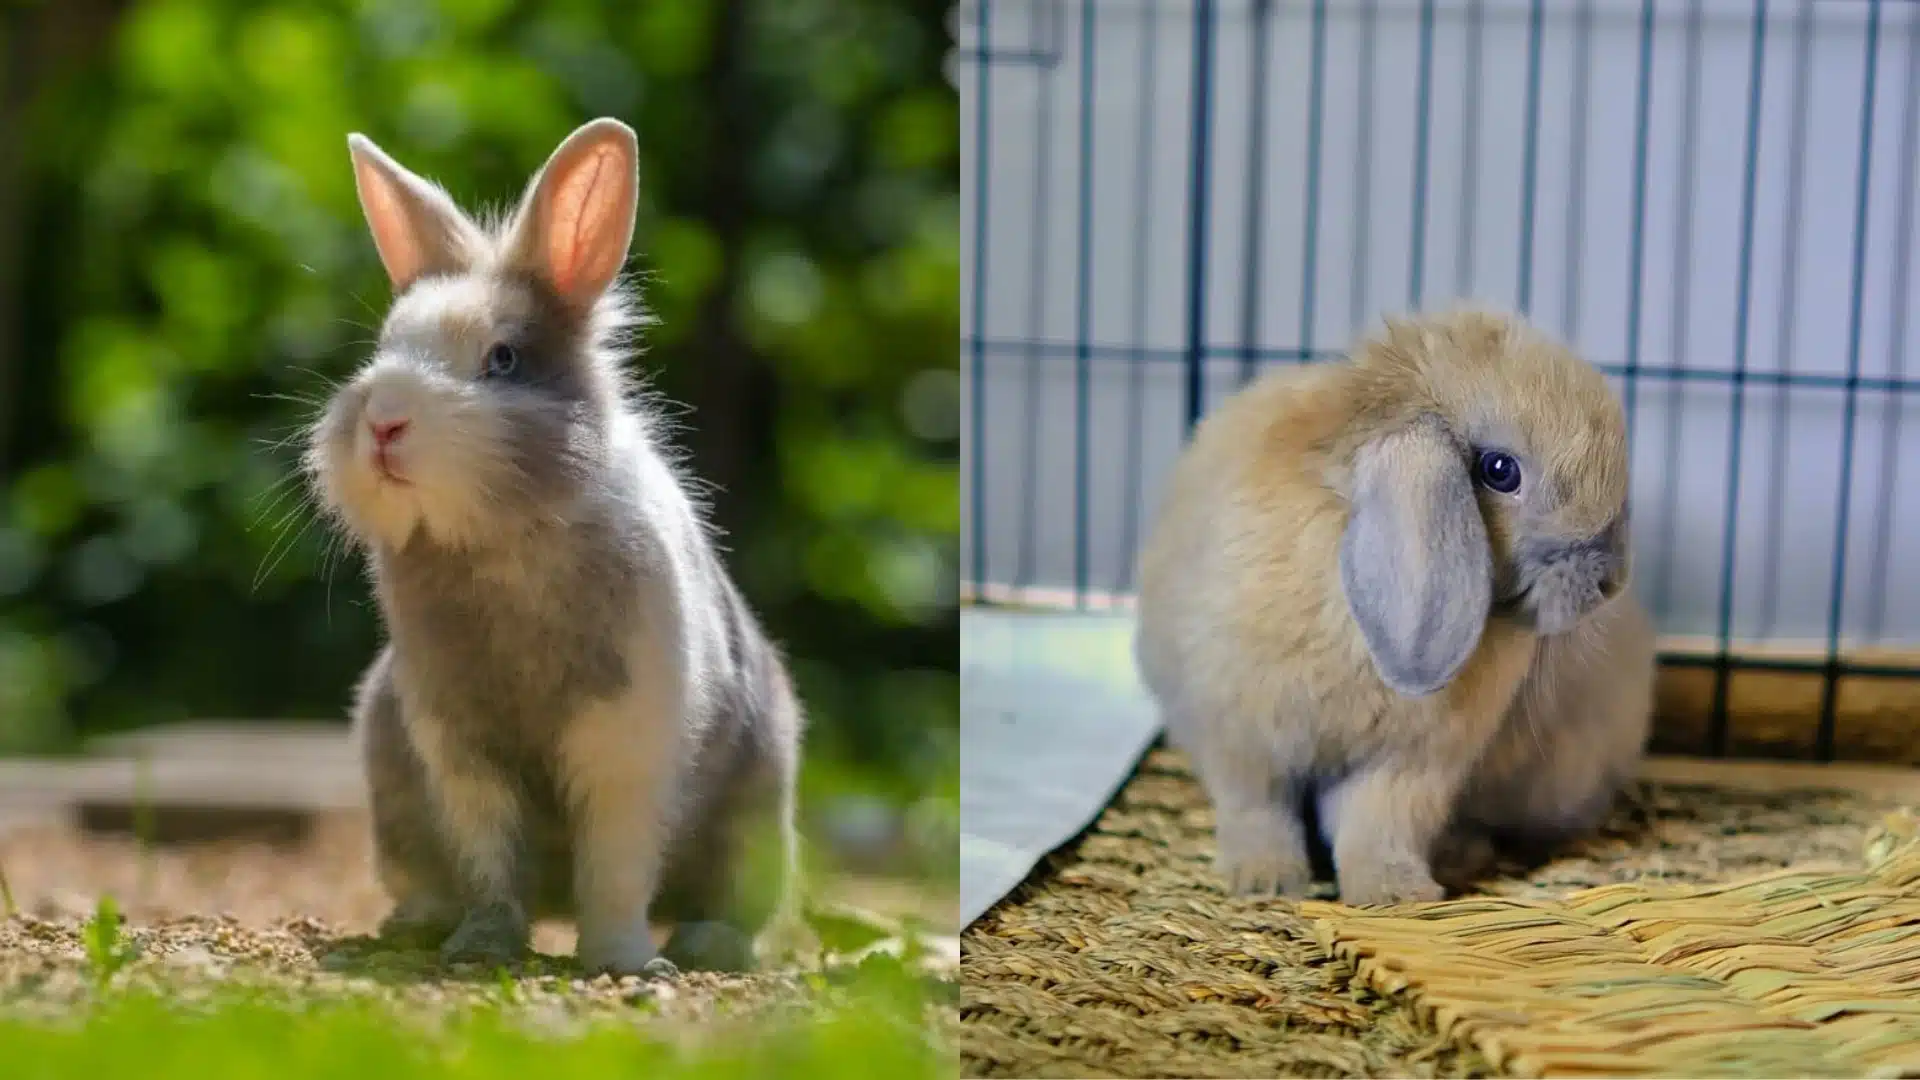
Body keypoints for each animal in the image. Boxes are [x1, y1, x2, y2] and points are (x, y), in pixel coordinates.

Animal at [306, 117, 807, 976]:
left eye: (503, 358)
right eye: (383, 348)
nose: (384, 423)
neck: (502, 542)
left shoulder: (626, 742)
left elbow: (615, 866)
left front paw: (623, 962)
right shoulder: (459, 750)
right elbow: (489, 860)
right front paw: (481, 947)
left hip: (758, 813)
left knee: (727, 903)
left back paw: (705, 945)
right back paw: (418, 924)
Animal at [1134, 308, 1647, 906]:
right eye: (1500, 470)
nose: (1610, 581)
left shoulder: (1409, 765)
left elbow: (1375, 827)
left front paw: (1396, 894)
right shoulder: (1243, 740)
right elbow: (1258, 810)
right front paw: (1267, 880)